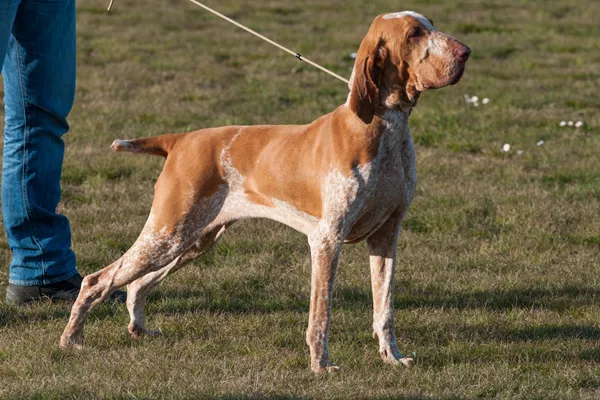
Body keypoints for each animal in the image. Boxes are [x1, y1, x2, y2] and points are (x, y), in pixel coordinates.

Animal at [62, 11, 474, 372]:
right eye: (414, 34)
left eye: (432, 25)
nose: (466, 52)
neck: (385, 128)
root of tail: (181, 140)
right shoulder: (327, 240)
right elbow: (321, 317)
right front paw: (320, 366)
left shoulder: (387, 235)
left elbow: (384, 309)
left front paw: (392, 357)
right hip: (167, 234)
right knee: (98, 280)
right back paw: (71, 339)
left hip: (192, 240)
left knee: (136, 284)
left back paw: (139, 329)